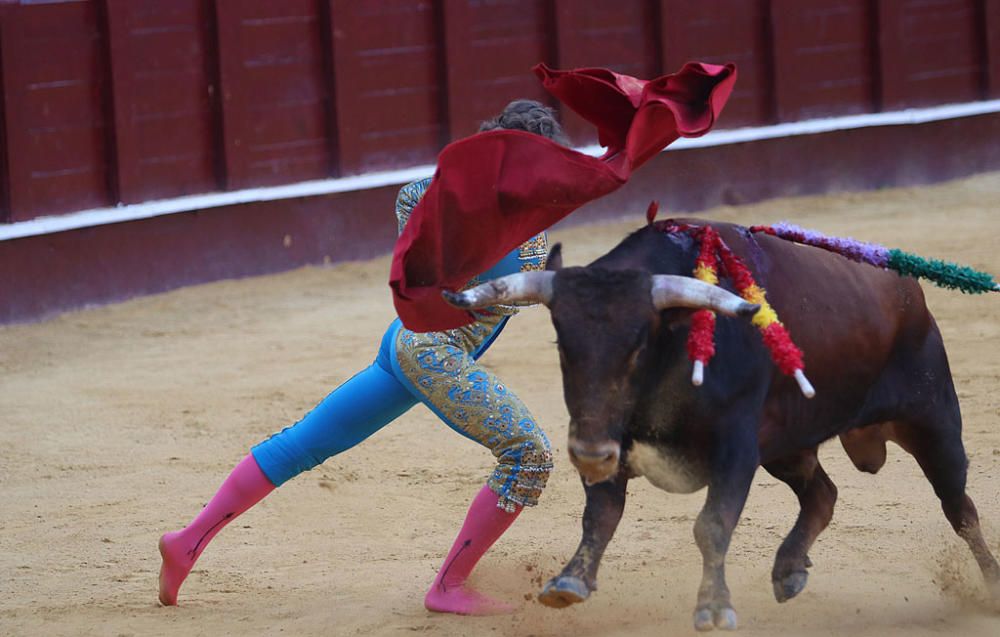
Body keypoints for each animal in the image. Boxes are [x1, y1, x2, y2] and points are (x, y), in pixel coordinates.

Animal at [448, 219, 1000, 632]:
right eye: (564, 344)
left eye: (638, 345)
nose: (587, 455)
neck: (676, 346)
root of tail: (905, 287)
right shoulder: (610, 438)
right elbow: (600, 515)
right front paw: (570, 582)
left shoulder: (735, 450)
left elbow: (711, 525)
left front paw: (714, 607)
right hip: (787, 448)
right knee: (822, 494)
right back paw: (788, 570)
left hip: (934, 422)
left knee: (960, 509)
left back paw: (990, 587)